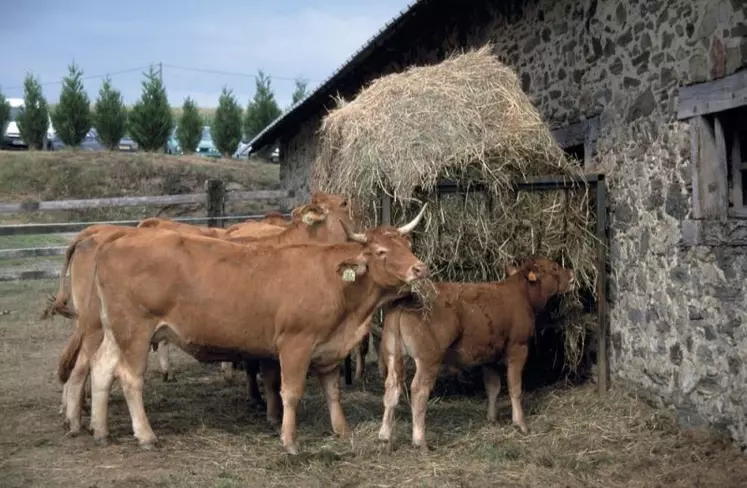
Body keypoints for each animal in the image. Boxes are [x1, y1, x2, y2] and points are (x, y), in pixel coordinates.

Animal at [83, 206, 426, 454]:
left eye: (407, 244)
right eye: (381, 251)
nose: (419, 268)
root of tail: (115, 241)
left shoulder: (330, 347)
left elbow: (333, 392)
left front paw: (342, 431)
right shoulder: (295, 344)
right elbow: (291, 393)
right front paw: (289, 441)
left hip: (115, 331)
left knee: (101, 367)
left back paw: (100, 430)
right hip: (135, 332)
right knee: (129, 378)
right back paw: (145, 435)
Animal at [376, 258, 576, 452]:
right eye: (554, 267)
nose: (572, 274)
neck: (521, 294)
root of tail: (407, 299)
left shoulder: (489, 355)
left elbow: (493, 386)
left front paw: (492, 418)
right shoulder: (518, 347)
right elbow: (514, 387)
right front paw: (521, 424)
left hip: (393, 353)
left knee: (392, 388)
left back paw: (385, 437)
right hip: (429, 359)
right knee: (419, 391)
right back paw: (420, 441)